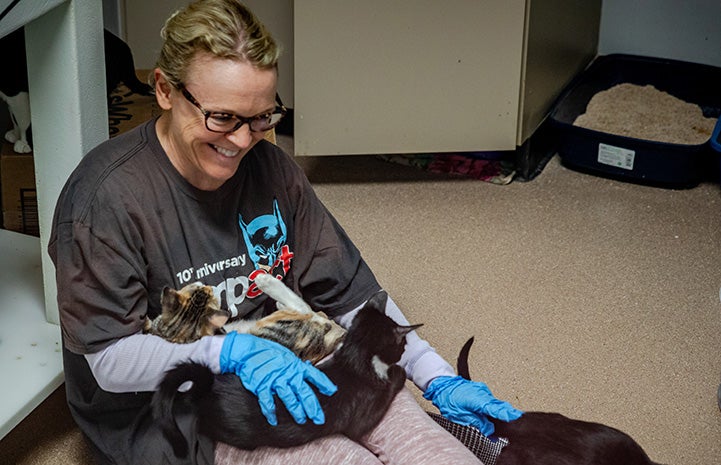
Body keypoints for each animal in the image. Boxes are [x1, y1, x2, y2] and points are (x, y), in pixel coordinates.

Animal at [152, 290, 422, 456]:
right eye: (402, 345)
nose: (403, 352)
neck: (354, 357)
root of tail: (206, 388)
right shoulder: (363, 413)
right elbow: (380, 400)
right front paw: (397, 372)